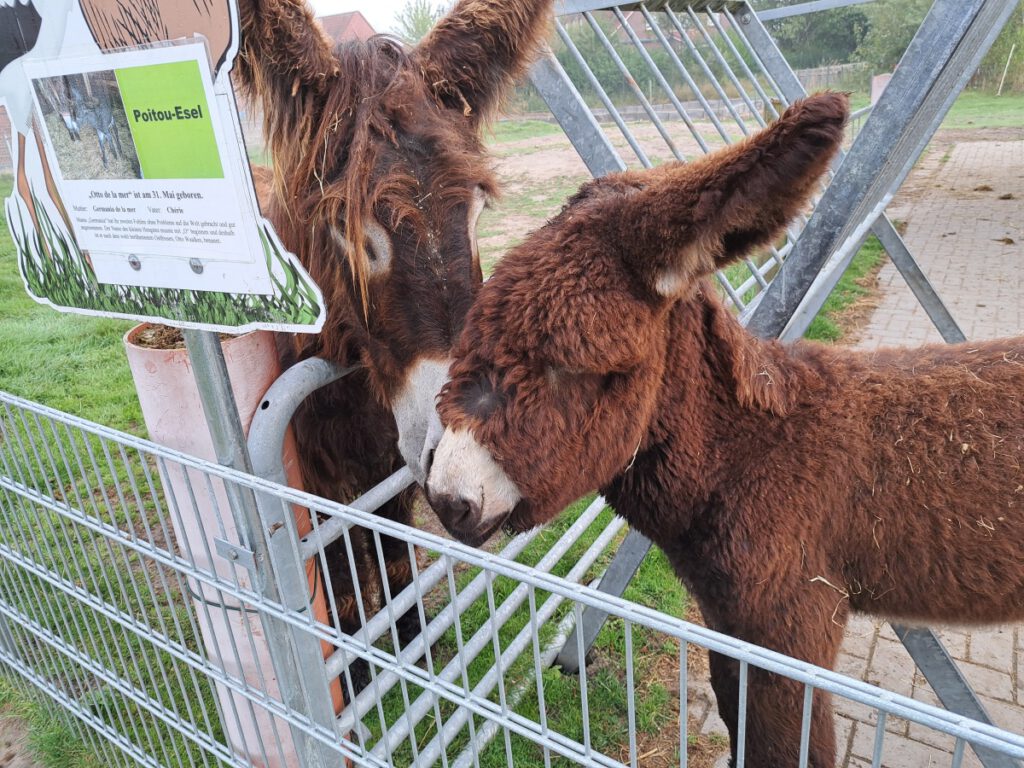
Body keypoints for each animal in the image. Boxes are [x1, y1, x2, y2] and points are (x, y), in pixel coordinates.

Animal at [423, 94, 1024, 768]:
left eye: (581, 364)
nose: (447, 498)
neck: (755, 455)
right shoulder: (730, 628)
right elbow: (741, 725)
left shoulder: (793, 629)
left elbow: (790, 749)